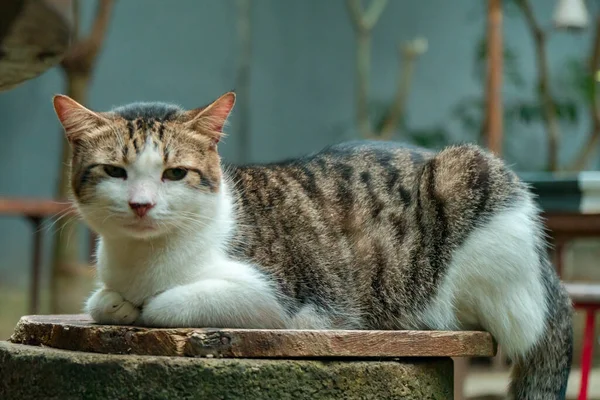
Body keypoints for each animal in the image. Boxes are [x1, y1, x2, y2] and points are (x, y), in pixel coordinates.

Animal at [54, 91, 576, 400]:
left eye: (174, 173)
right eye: (116, 172)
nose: (141, 204)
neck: (144, 261)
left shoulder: (273, 298)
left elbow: (164, 304)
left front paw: (145, 304)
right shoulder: (108, 283)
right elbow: (102, 301)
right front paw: (119, 303)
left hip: (470, 182)